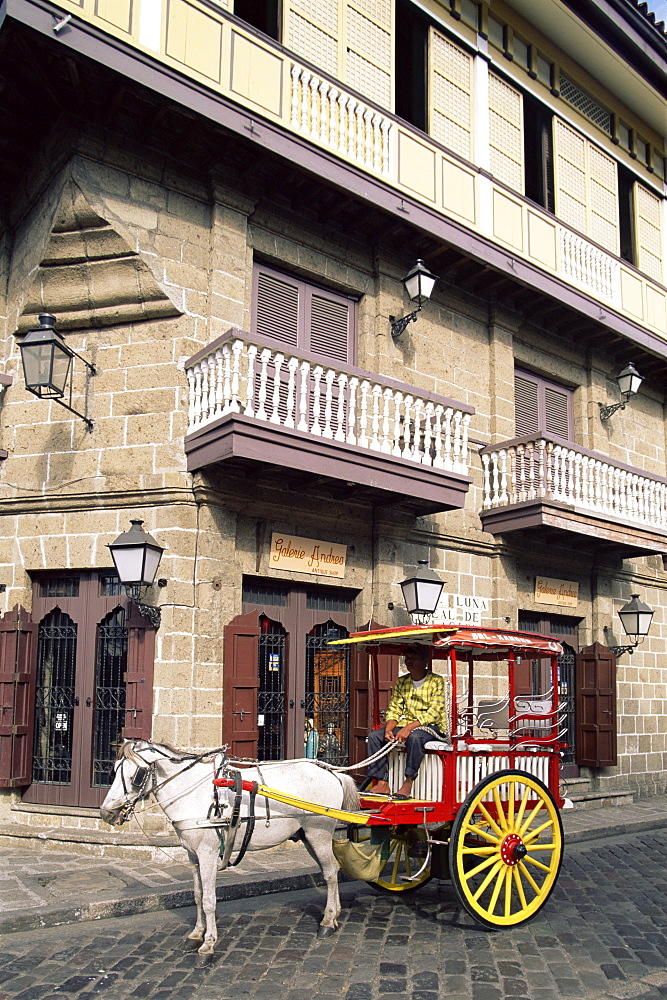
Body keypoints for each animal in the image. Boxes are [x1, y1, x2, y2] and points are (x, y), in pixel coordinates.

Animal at [100, 740, 360, 964]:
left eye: (136, 775)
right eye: (114, 768)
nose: (106, 813)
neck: (191, 795)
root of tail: (333, 773)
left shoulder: (207, 853)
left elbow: (209, 900)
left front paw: (208, 945)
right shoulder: (193, 855)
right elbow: (197, 894)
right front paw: (196, 934)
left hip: (318, 834)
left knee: (329, 873)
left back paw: (327, 921)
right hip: (307, 836)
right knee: (332, 869)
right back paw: (335, 914)